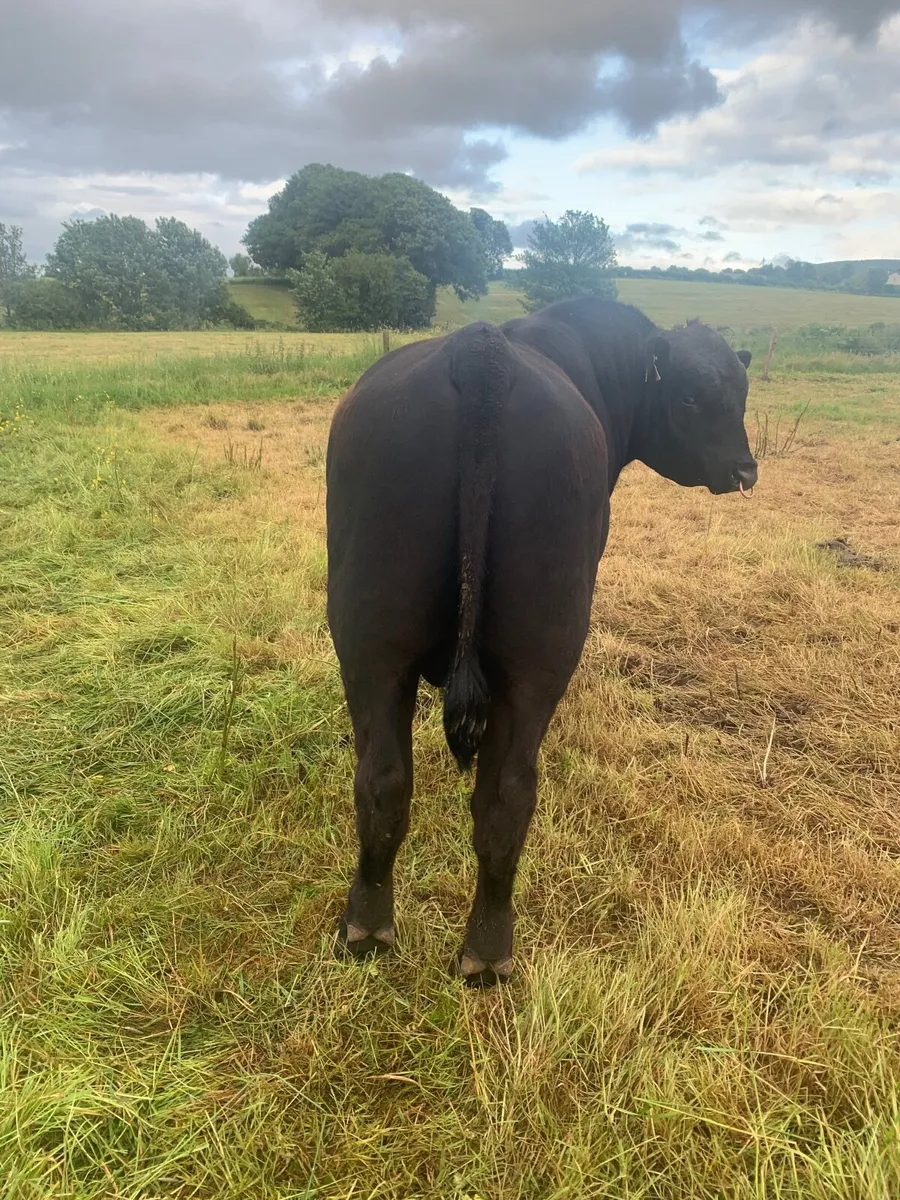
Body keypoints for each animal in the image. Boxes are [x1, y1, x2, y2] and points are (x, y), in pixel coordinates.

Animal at [325, 296, 757, 986]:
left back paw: (379, 929)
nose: (746, 470)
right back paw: (486, 951)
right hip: (539, 651)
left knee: (393, 782)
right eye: (691, 397)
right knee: (506, 793)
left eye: (740, 394)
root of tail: (480, 352)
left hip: (374, 643)